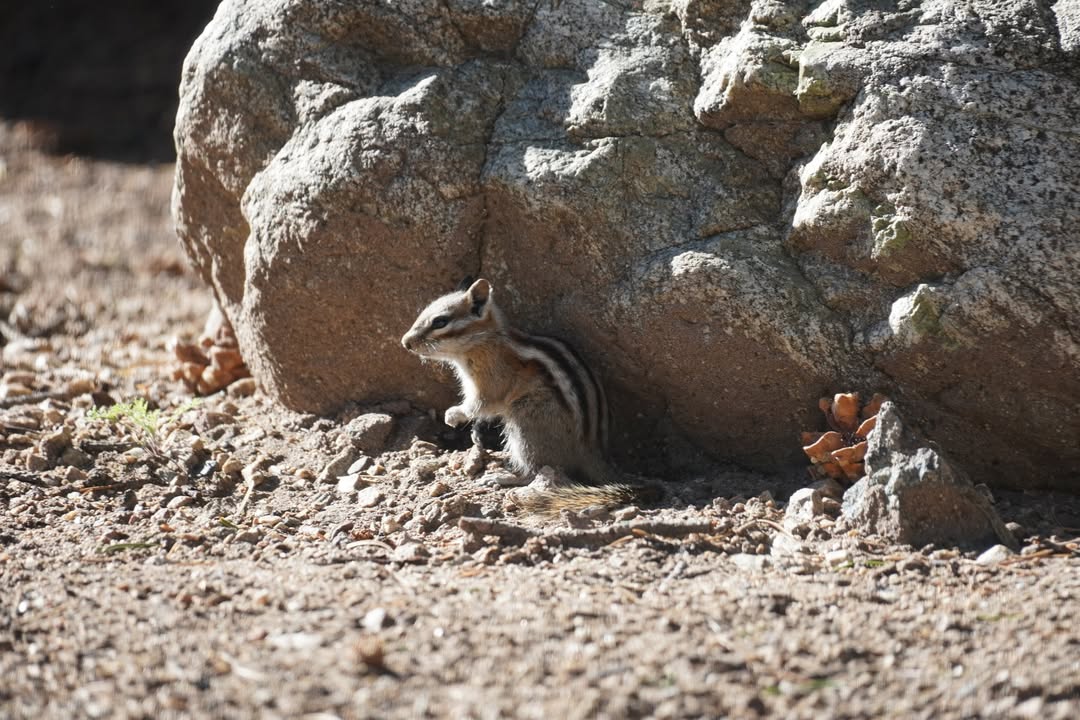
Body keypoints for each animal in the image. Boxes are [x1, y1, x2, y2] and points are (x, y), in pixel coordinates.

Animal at [401, 278, 657, 514]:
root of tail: (592, 450)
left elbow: (481, 404)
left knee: (538, 471)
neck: (485, 341)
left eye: (440, 321)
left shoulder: (491, 382)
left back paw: (503, 478)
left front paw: (454, 415)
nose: (406, 343)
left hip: (527, 424)